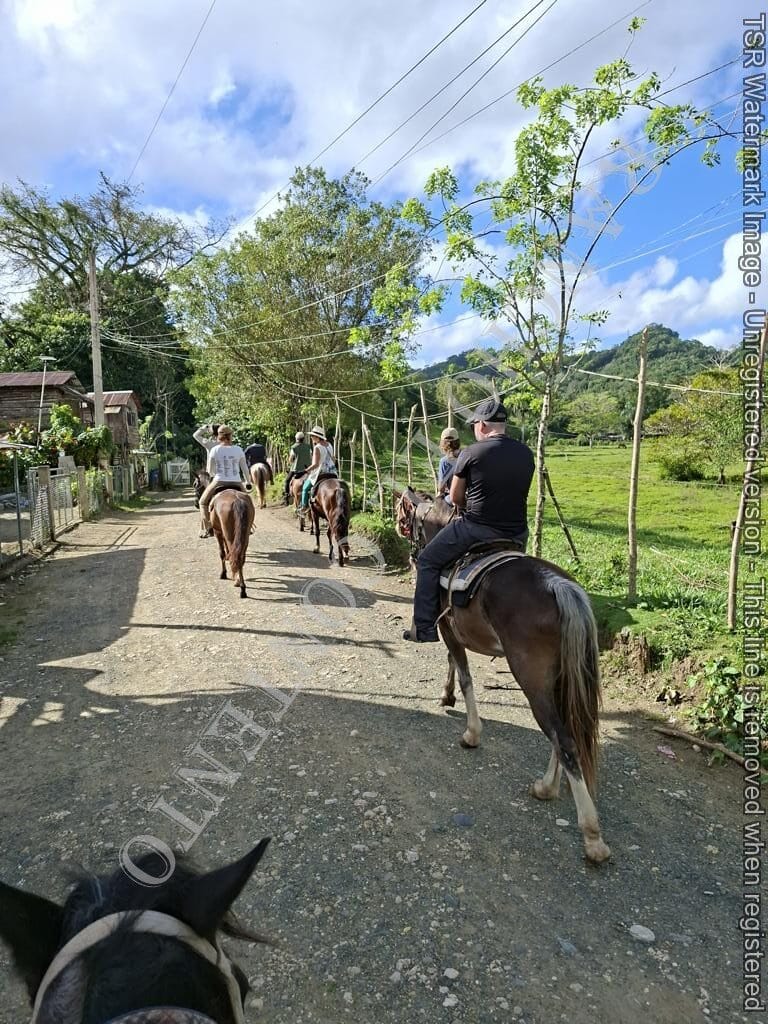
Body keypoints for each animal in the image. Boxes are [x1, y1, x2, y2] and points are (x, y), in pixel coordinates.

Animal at [396, 487, 610, 864]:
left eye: (407, 515)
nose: (408, 544)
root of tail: (558, 585)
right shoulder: (452, 630)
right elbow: (453, 665)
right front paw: (446, 695)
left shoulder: (447, 629)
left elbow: (464, 675)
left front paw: (471, 732)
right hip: (557, 678)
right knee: (562, 732)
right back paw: (546, 786)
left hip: (532, 679)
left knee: (563, 738)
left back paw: (591, 835)